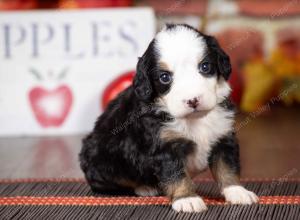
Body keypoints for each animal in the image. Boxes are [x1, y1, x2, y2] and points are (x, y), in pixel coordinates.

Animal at [79, 24, 258, 213]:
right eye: (164, 77)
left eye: (205, 67)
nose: (193, 100)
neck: (195, 119)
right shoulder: (166, 146)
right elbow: (175, 174)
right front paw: (187, 199)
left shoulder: (223, 136)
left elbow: (227, 167)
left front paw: (237, 191)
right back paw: (145, 188)